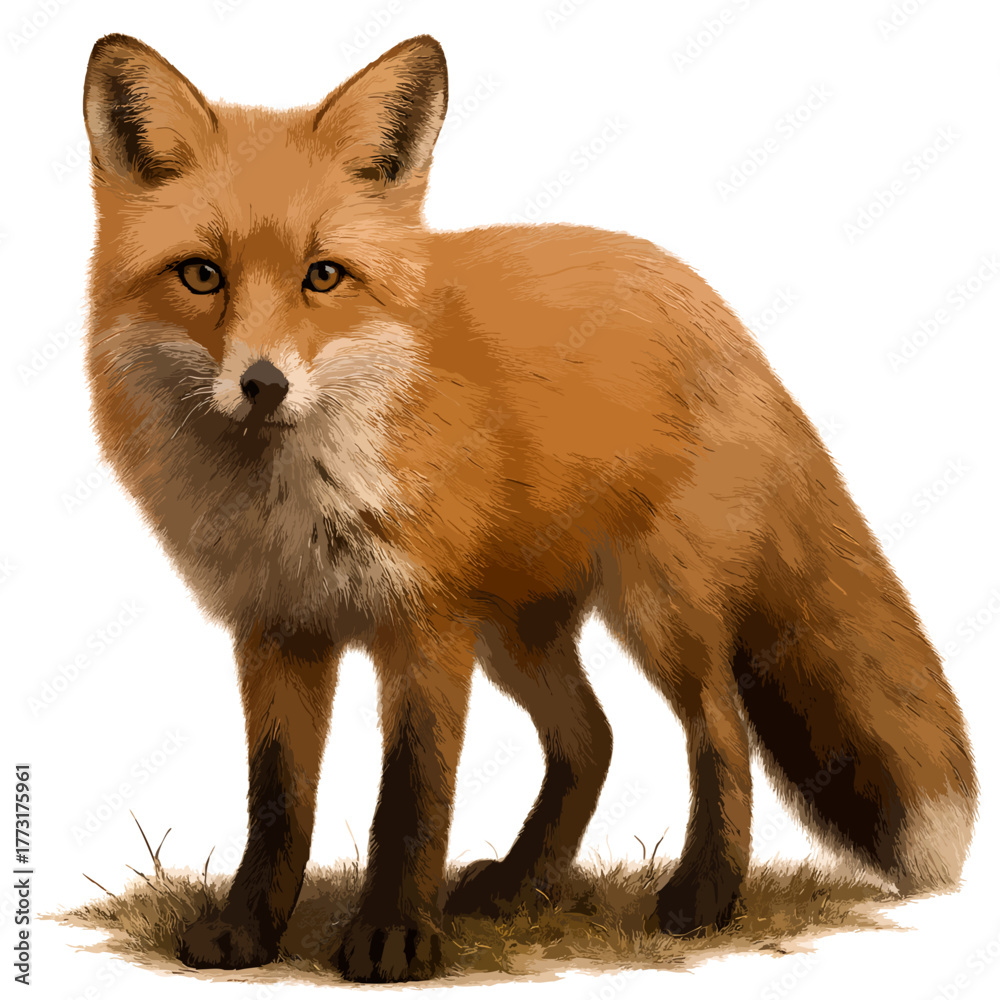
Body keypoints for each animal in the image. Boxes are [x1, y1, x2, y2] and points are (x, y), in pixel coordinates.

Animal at [82, 33, 977, 983]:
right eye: (201, 275)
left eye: (323, 276)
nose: (263, 384)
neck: (296, 497)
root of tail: (716, 309)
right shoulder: (279, 630)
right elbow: (277, 801)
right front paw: (249, 930)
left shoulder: (427, 625)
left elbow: (414, 796)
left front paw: (394, 935)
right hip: (517, 633)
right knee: (593, 738)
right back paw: (521, 886)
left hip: (653, 611)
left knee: (720, 731)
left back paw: (704, 897)